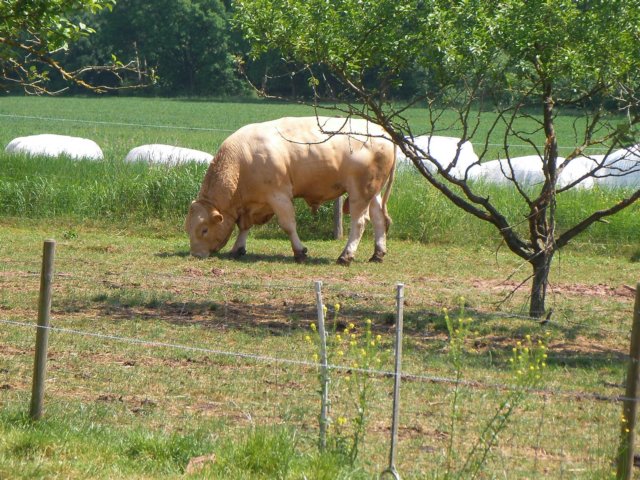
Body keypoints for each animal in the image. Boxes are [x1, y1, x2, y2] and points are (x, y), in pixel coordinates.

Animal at [184, 117, 396, 266]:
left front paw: (300, 252)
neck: (242, 161)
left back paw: (346, 256)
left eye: (204, 229)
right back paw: (377, 254)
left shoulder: (279, 195)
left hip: (359, 191)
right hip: (373, 192)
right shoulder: (251, 204)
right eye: (188, 229)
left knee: (359, 223)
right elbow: (244, 226)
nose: (196, 254)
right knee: (379, 219)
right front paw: (238, 248)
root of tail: (380, 130)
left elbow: (288, 225)